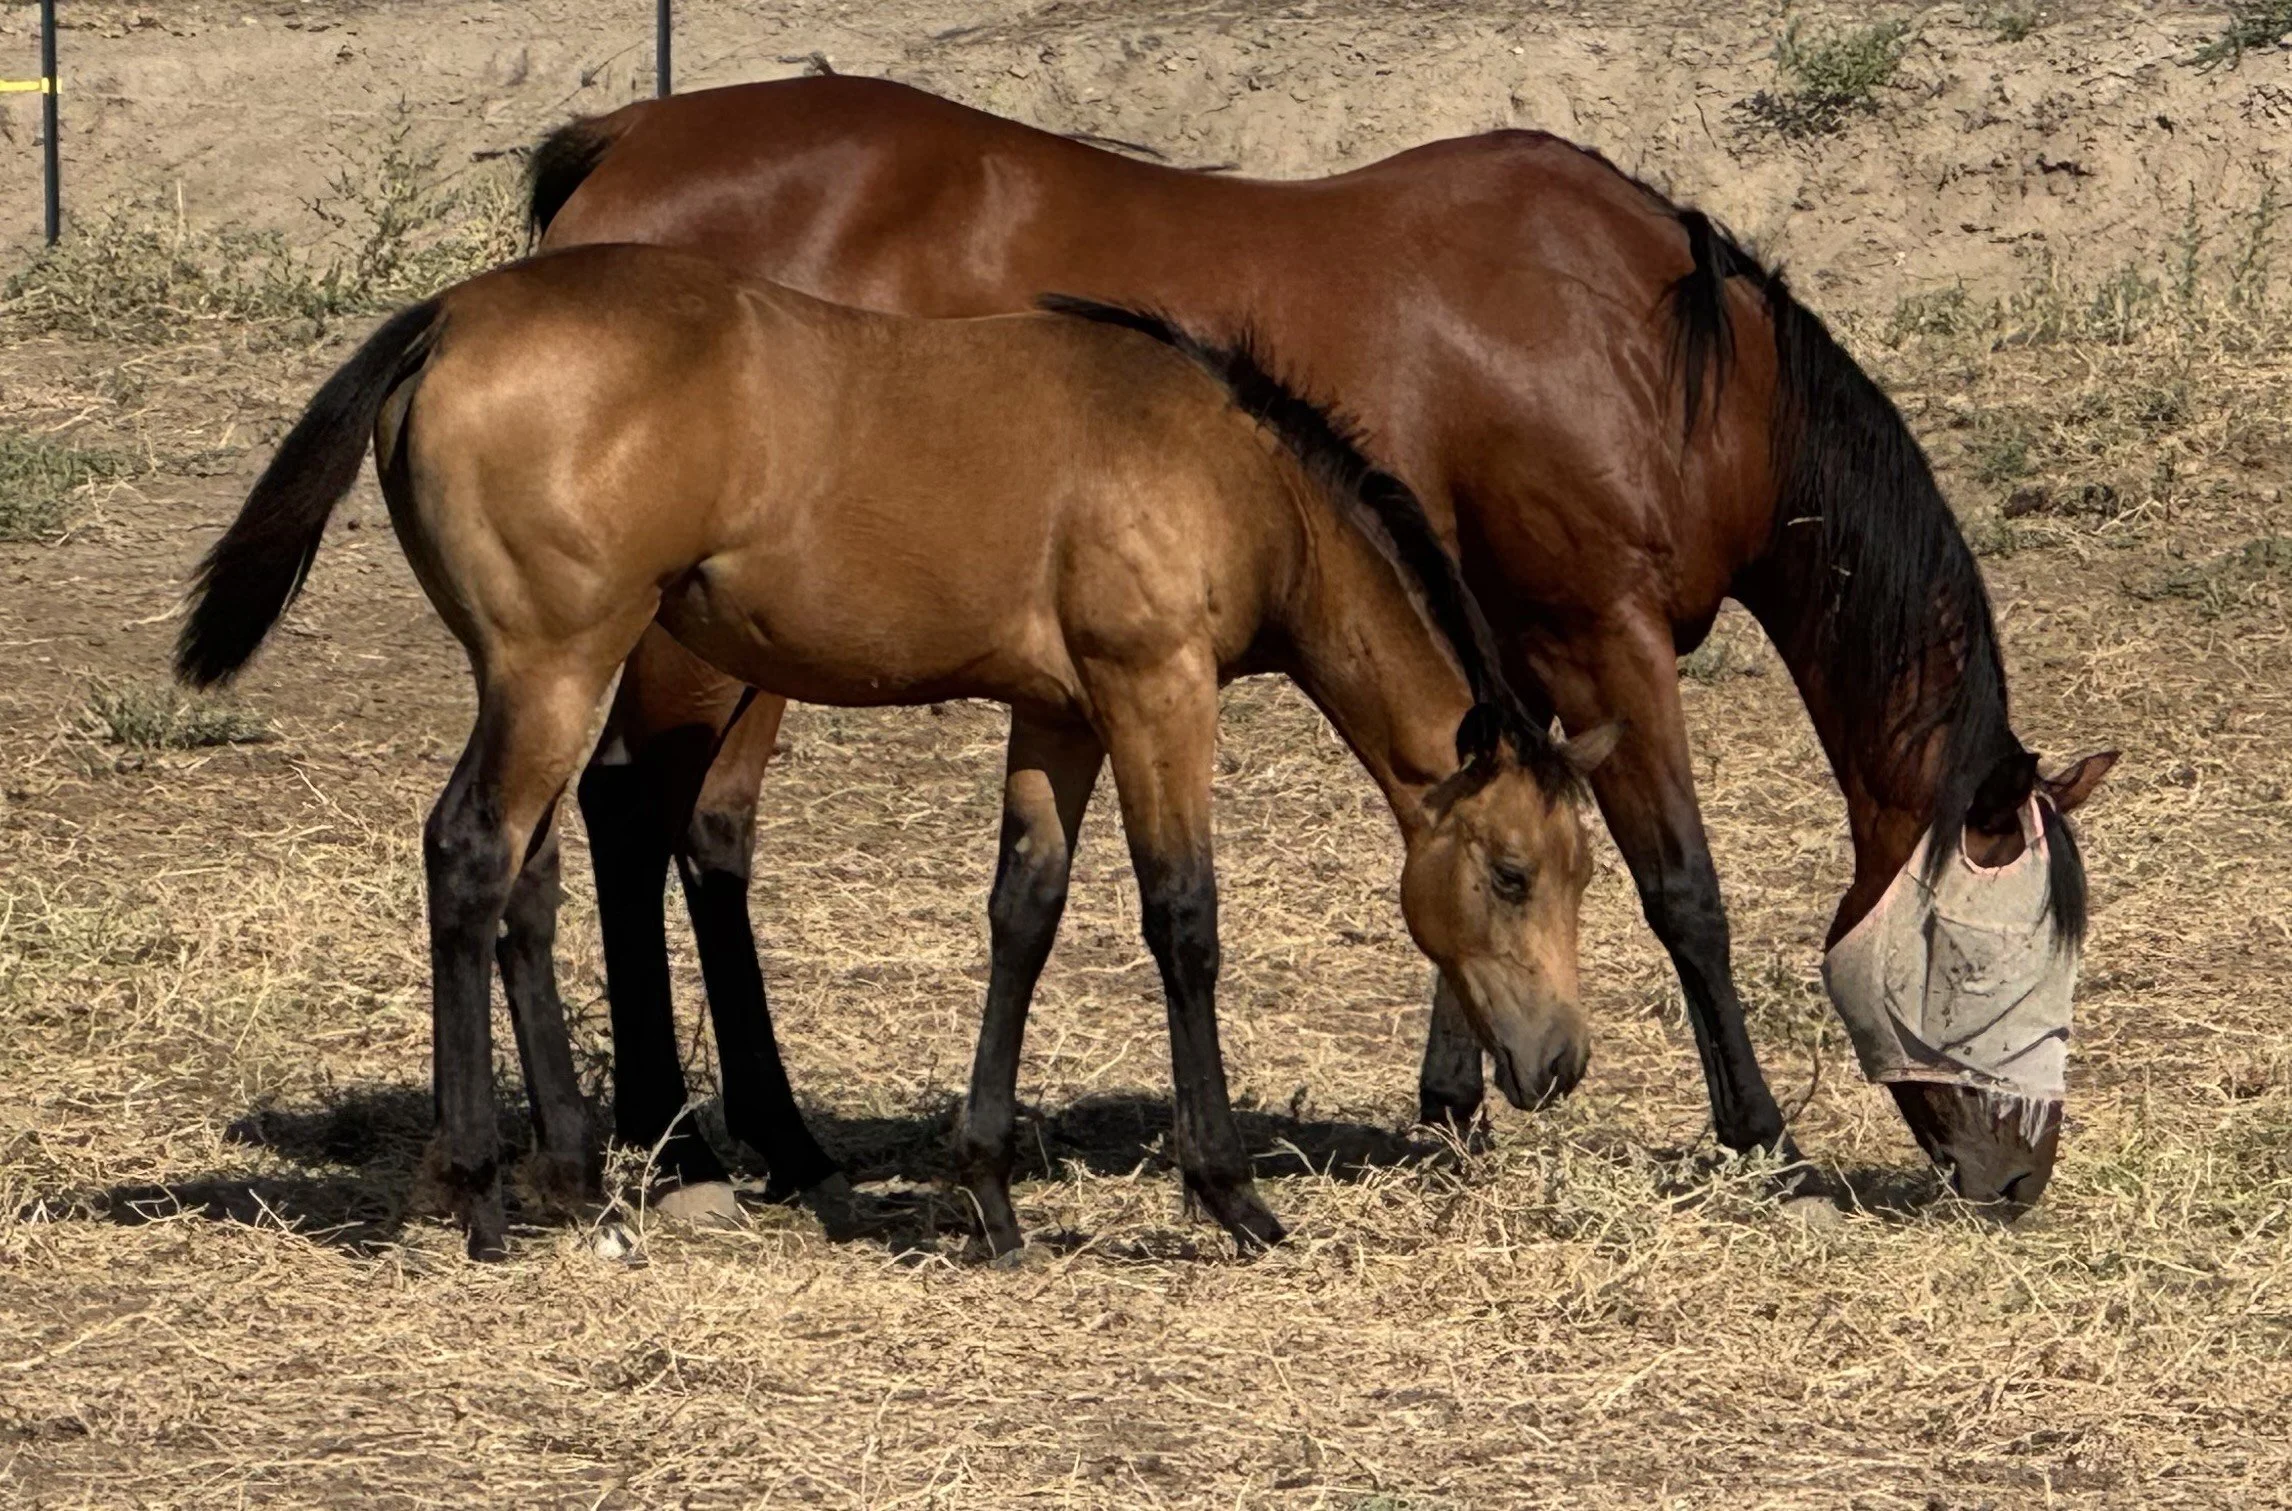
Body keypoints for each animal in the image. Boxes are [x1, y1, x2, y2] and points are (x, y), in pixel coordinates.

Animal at [174, 243, 1615, 1259]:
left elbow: (1024, 912)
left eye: (1580, 874)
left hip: (548, 678)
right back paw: (480, 1191)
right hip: (556, 663)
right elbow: (1184, 919)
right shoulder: (1157, 689)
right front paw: (1230, 1194)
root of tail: (452, 316)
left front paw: (989, 1192)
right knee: (472, 855)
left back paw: (579, 1177)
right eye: (1510, 873)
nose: (1558, 1064)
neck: (1228, 471)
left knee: (525, 881)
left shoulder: (1061, 714)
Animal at [526, 75, 2115, 1209]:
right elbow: (1685, 891)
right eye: (1981, 955)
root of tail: (623, 139)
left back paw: (771, 1139)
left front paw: (1461, 1093)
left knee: (701, 835)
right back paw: (681, 1148)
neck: (1658, 354)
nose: (2015, 1173)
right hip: (692, 644)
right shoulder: (1600, 640)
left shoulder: (1505, 663)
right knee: (630, 815)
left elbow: (1483, 848)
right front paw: (1761, 1137)